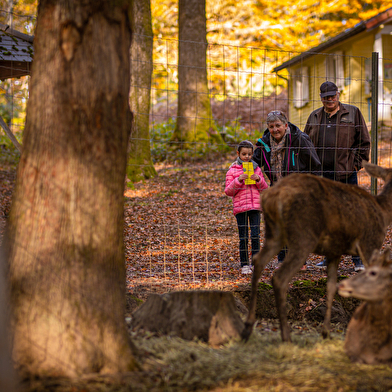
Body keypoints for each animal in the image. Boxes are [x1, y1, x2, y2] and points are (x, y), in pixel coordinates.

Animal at [242, 162, 392, 344]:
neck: (384, 212)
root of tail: (274, 196)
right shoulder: (370, 242)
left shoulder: (334, 252)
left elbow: (331, 287)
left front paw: (326, 333)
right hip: (303, 235)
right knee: (279, 277)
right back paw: (286, 336)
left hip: (275, 233)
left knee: (258, 261)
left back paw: (247, 329)